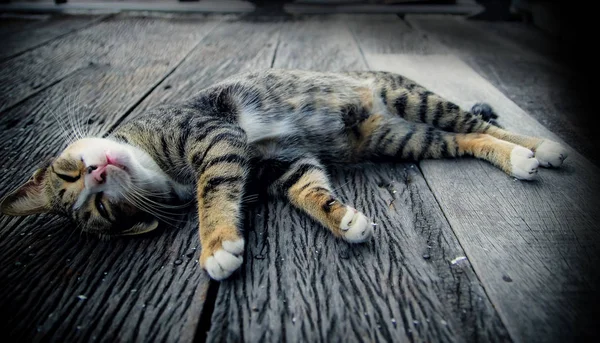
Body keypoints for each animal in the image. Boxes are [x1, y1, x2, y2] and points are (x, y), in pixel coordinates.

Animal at [0, 68, 568, 280]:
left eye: (68, 175)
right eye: (102, 208)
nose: (97, 172)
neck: (155, 163)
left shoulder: (214, 136)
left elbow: (211, 190)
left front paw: (216, 244)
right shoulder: (280, 166)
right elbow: (309, 190)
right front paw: (344, 221)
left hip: (411, 97)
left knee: (476, 123)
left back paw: (541, 148)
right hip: (399, 138)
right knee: (463, 140)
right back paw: (519, 156)